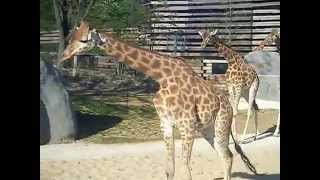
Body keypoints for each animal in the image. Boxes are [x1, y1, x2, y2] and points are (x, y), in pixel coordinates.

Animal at [59, 21, 258, 180]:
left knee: (228, 156)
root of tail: (227, 105)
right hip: (208, 129)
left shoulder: (187, 125)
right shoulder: (166, 124)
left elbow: (185, 167)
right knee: (227, 156)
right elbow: (170, 169)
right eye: (71, 37)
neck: (162, 77)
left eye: (84, 40)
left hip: (221, 123)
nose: (64, 55)